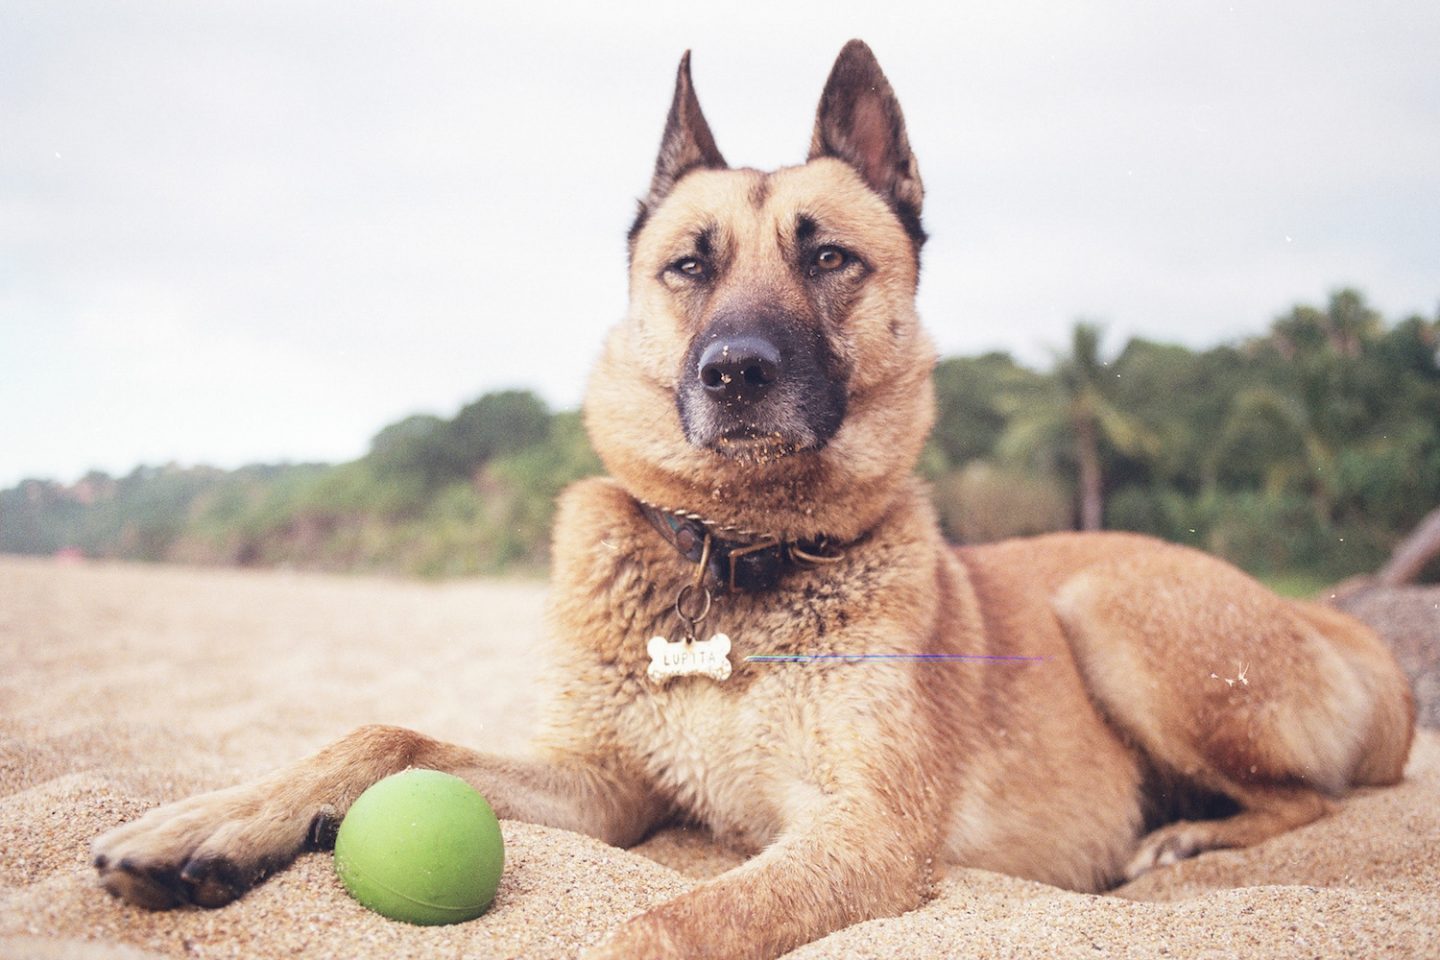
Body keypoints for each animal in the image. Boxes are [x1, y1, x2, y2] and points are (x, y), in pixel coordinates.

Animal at [92, 41, 1416, 955]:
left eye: (828, 257)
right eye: (691, 264)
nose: (735, 374)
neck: (731, 557)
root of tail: (1330, 622)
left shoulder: (855, 832)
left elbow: (660, 924)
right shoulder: (604, 786)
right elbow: (384, 735)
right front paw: (210, 821)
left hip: (1111, 611)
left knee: (1310, 795)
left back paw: (1189, 833)